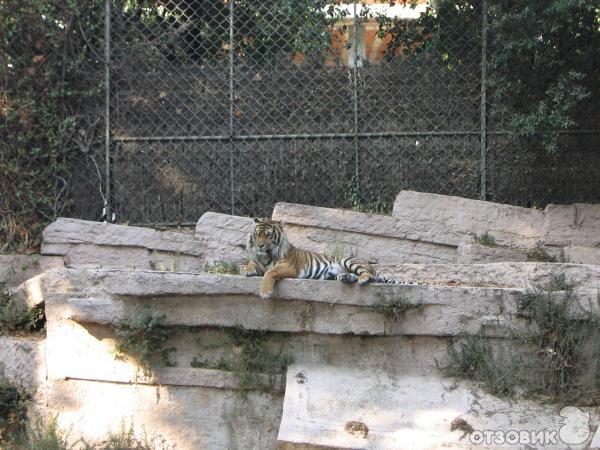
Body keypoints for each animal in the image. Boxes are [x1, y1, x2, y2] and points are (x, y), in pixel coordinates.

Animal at [240, 218, 404, 298]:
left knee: (368, 275)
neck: (265, 256)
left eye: (268, 235)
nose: (260, 245)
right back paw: (346, 278)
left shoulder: (289, 267)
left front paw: (265, 292)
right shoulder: (258, 261)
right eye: (257, 234)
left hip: (349, 260)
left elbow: (270, 272)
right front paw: (245, 270)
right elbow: (251, 264)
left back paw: (362, 279)